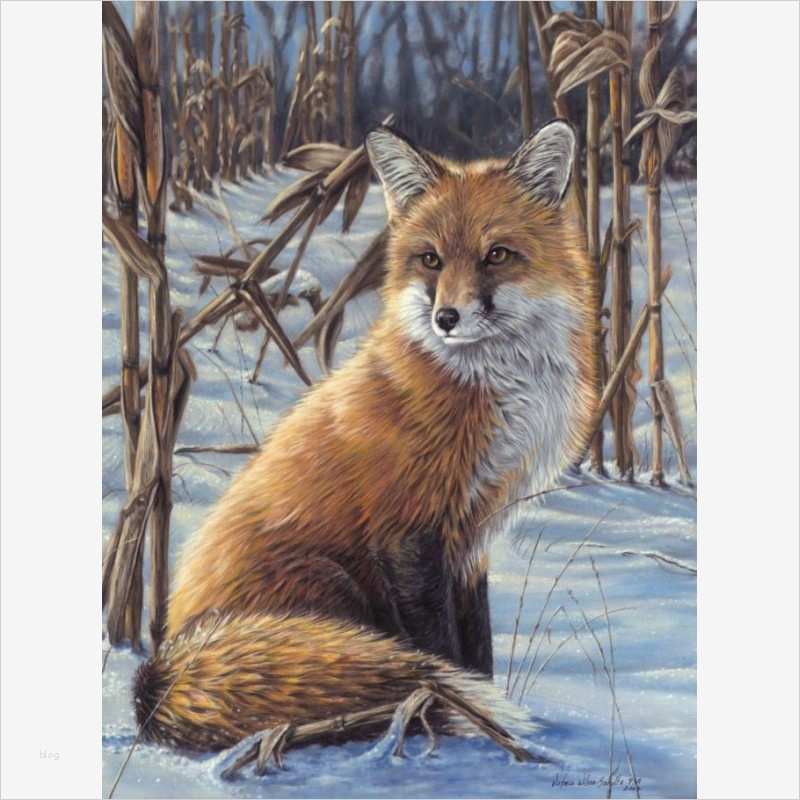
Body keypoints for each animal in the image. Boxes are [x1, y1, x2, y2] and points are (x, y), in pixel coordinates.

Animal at [133, 119, 598, 754]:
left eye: (497, 255)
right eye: (430, 260)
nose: (446, 318)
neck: (491, 387)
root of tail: (161, 670)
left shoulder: (471, 538)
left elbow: (477, 650)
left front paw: (484, 714)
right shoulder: (408, 533)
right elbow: (441, 650)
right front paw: (471, 723)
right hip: (332, 585)